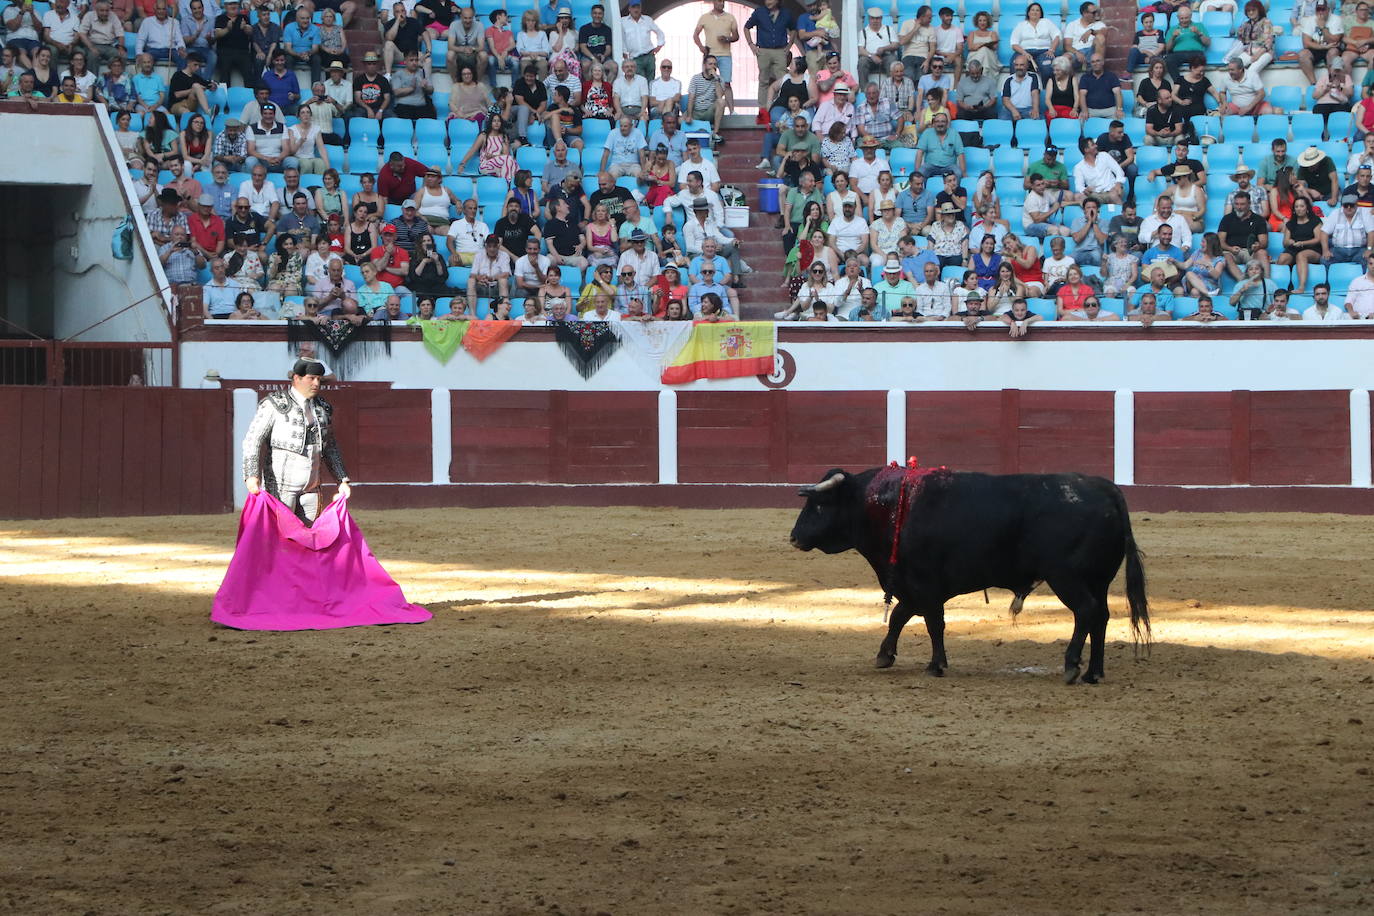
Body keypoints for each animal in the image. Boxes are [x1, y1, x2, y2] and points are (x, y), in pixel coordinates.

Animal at [791, 469, 1154, 683]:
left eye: (819, 505)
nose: (794, 537)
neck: (890, 507)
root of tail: (1105, 488)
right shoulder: (913, 586)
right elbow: (899, 616)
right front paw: (884, 656)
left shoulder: (924, 583)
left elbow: (932, 623)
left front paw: (936, 665)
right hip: (1099, 579)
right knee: (1101, 616)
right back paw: (1094, 672)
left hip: (1066, 577)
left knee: (1086, 611)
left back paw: (1071, 666)